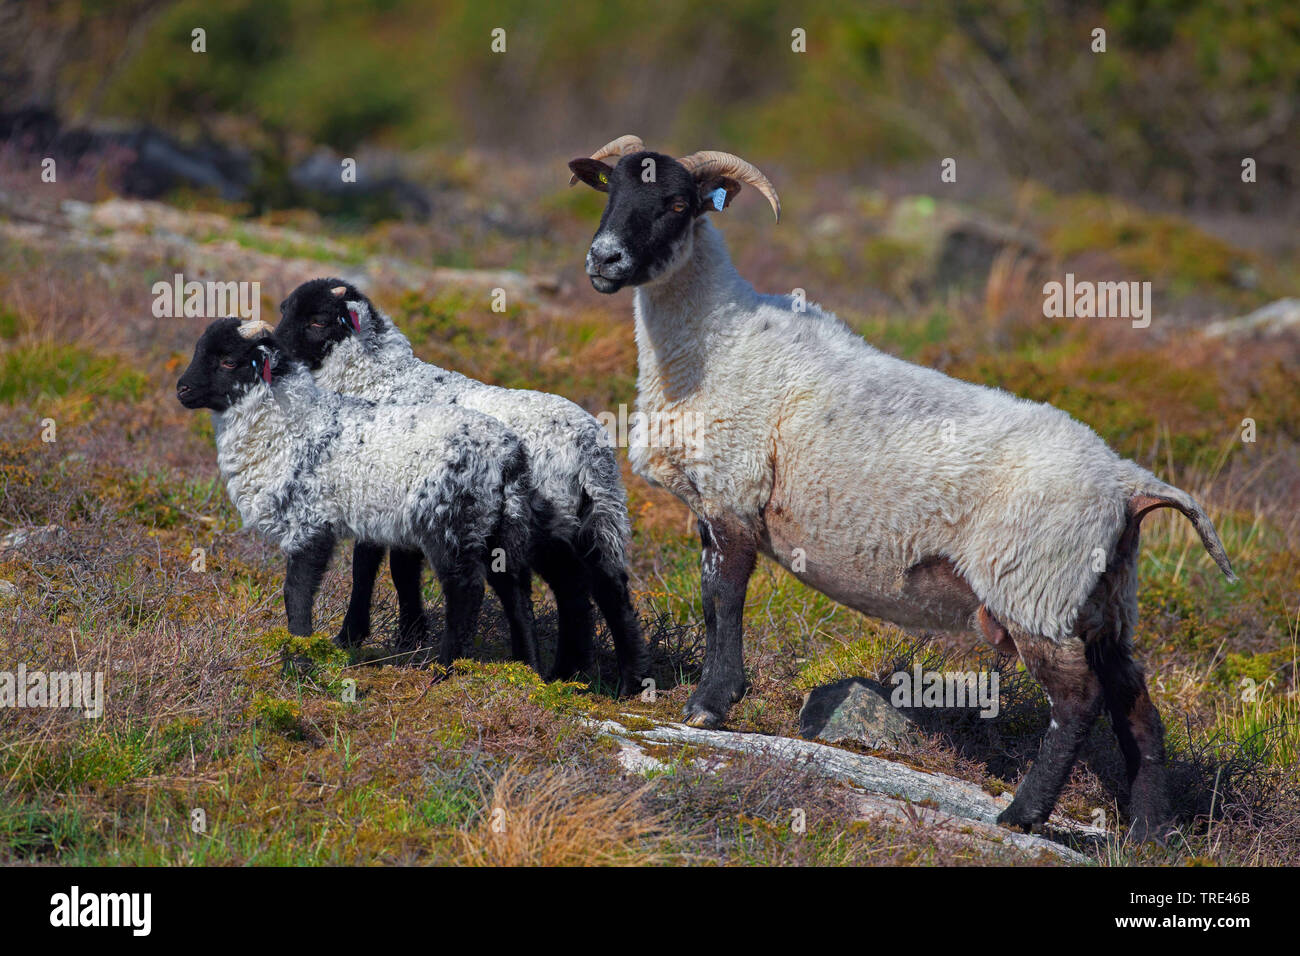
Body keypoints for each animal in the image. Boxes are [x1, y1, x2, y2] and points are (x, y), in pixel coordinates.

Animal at [175, 317, 540, 671]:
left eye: (228, 360)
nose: (182, 389)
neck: (289, 426)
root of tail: (507, 454)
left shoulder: (309, 523)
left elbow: (296, 593)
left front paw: (297, 664)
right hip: (497, 523)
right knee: (514, 587)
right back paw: (528, 666)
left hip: (449, 521)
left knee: (466, 589)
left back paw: (444, 667)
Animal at [279, 277, 650, 697]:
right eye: (285, 310)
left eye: (318, 320)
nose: (276, 354)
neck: (378, 380)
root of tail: (588, 448)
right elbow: (400, 568)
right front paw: (409, 637)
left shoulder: (378, 490)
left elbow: (371, 566)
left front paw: (355, 636)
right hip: (591, 516)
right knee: (599, 587)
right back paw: (595, 676)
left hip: (545, 520)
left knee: (581, 588)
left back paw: (595, 675)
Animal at [572, 132, 1237, 837]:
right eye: (611, 190)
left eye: (677, 204)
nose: (604, 259)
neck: (715, 340)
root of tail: (1129, 484)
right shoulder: (712, 506)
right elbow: (708, 600)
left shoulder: (733, 496)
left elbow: (724, 601)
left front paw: (710, 705)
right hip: (1102, 599)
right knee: (1136, 704)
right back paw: (1149, 830)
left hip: (1034, 588)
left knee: (1078, 703)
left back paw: (1021, 815)